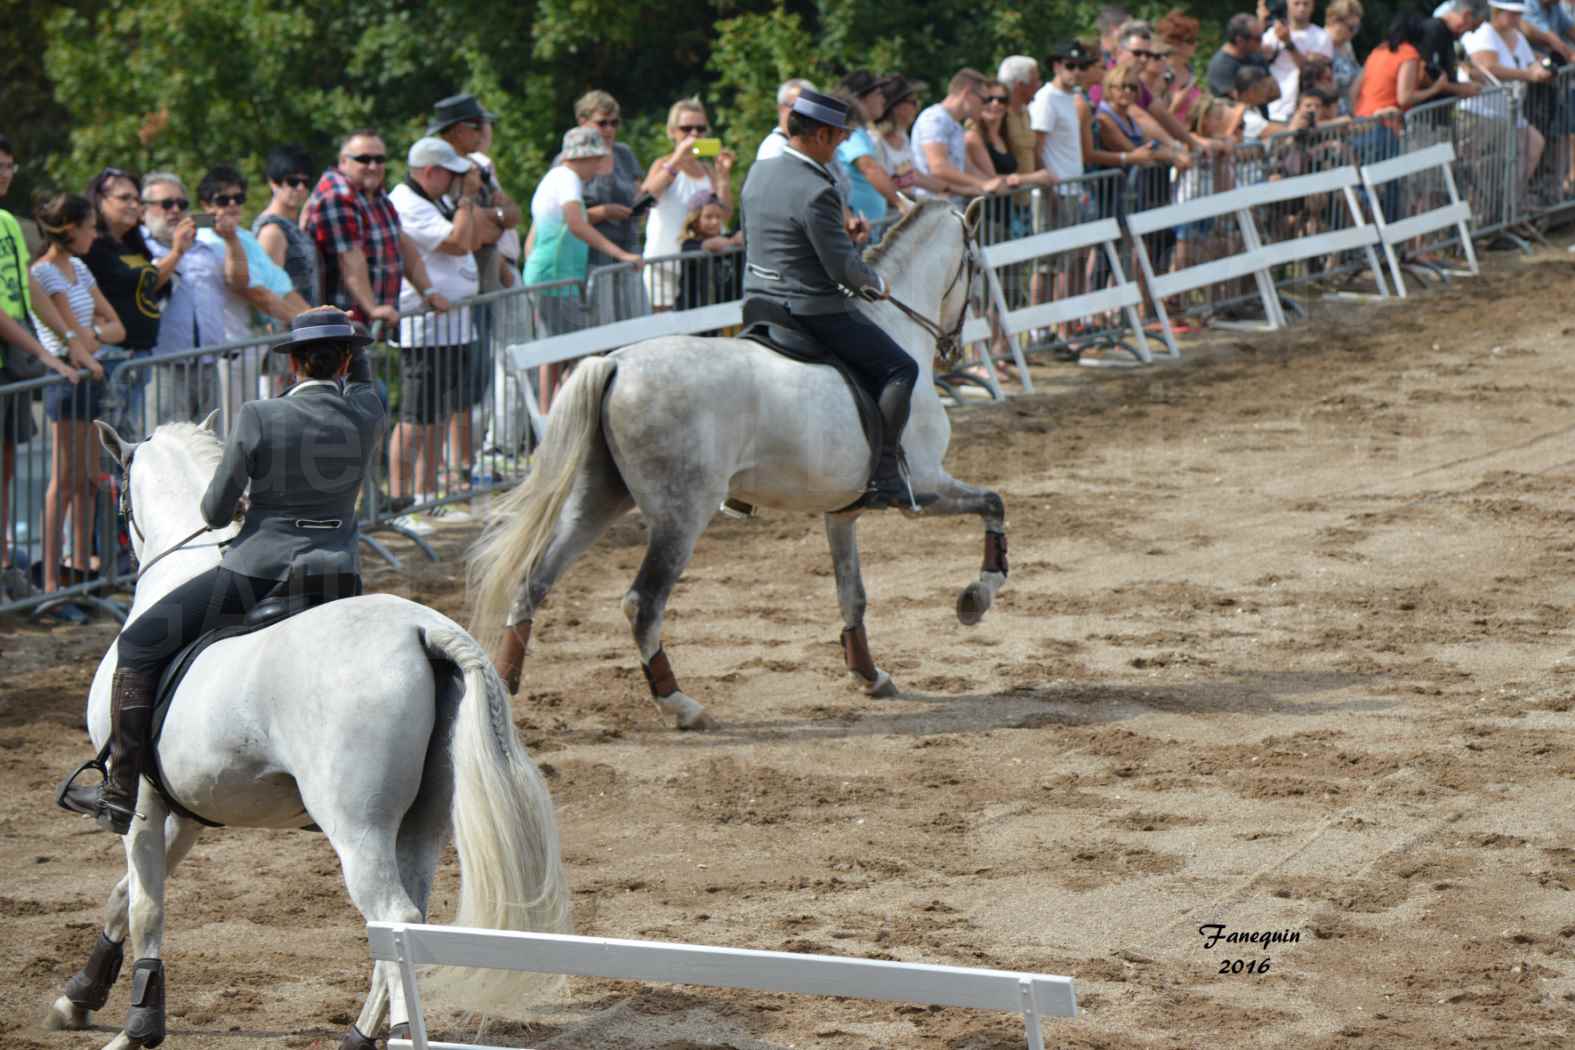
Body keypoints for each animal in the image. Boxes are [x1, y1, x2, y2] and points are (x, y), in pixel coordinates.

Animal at [41, 418, 573, 1050]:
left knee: (394, 916)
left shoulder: (143, 802)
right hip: (423, 821)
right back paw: (360, 1034)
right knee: (407, 922)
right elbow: (122, 898)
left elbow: (146, 907)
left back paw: (391, 1033)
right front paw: (78, 997)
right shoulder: (186, 810)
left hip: (358, 829)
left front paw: (137, 1028)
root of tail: (421, 629)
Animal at [466, 203, 1008, 730]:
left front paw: (871, 676)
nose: (954, 348)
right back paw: (680, 706)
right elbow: (993, 504)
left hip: (596, 499)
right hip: (680, 516)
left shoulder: (843, 513)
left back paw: (505, 688)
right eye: (977, 269)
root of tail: (616, 363)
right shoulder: (926, 488)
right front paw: (975, 599)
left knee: (533, 582)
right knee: (643, 603)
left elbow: (851, 594)